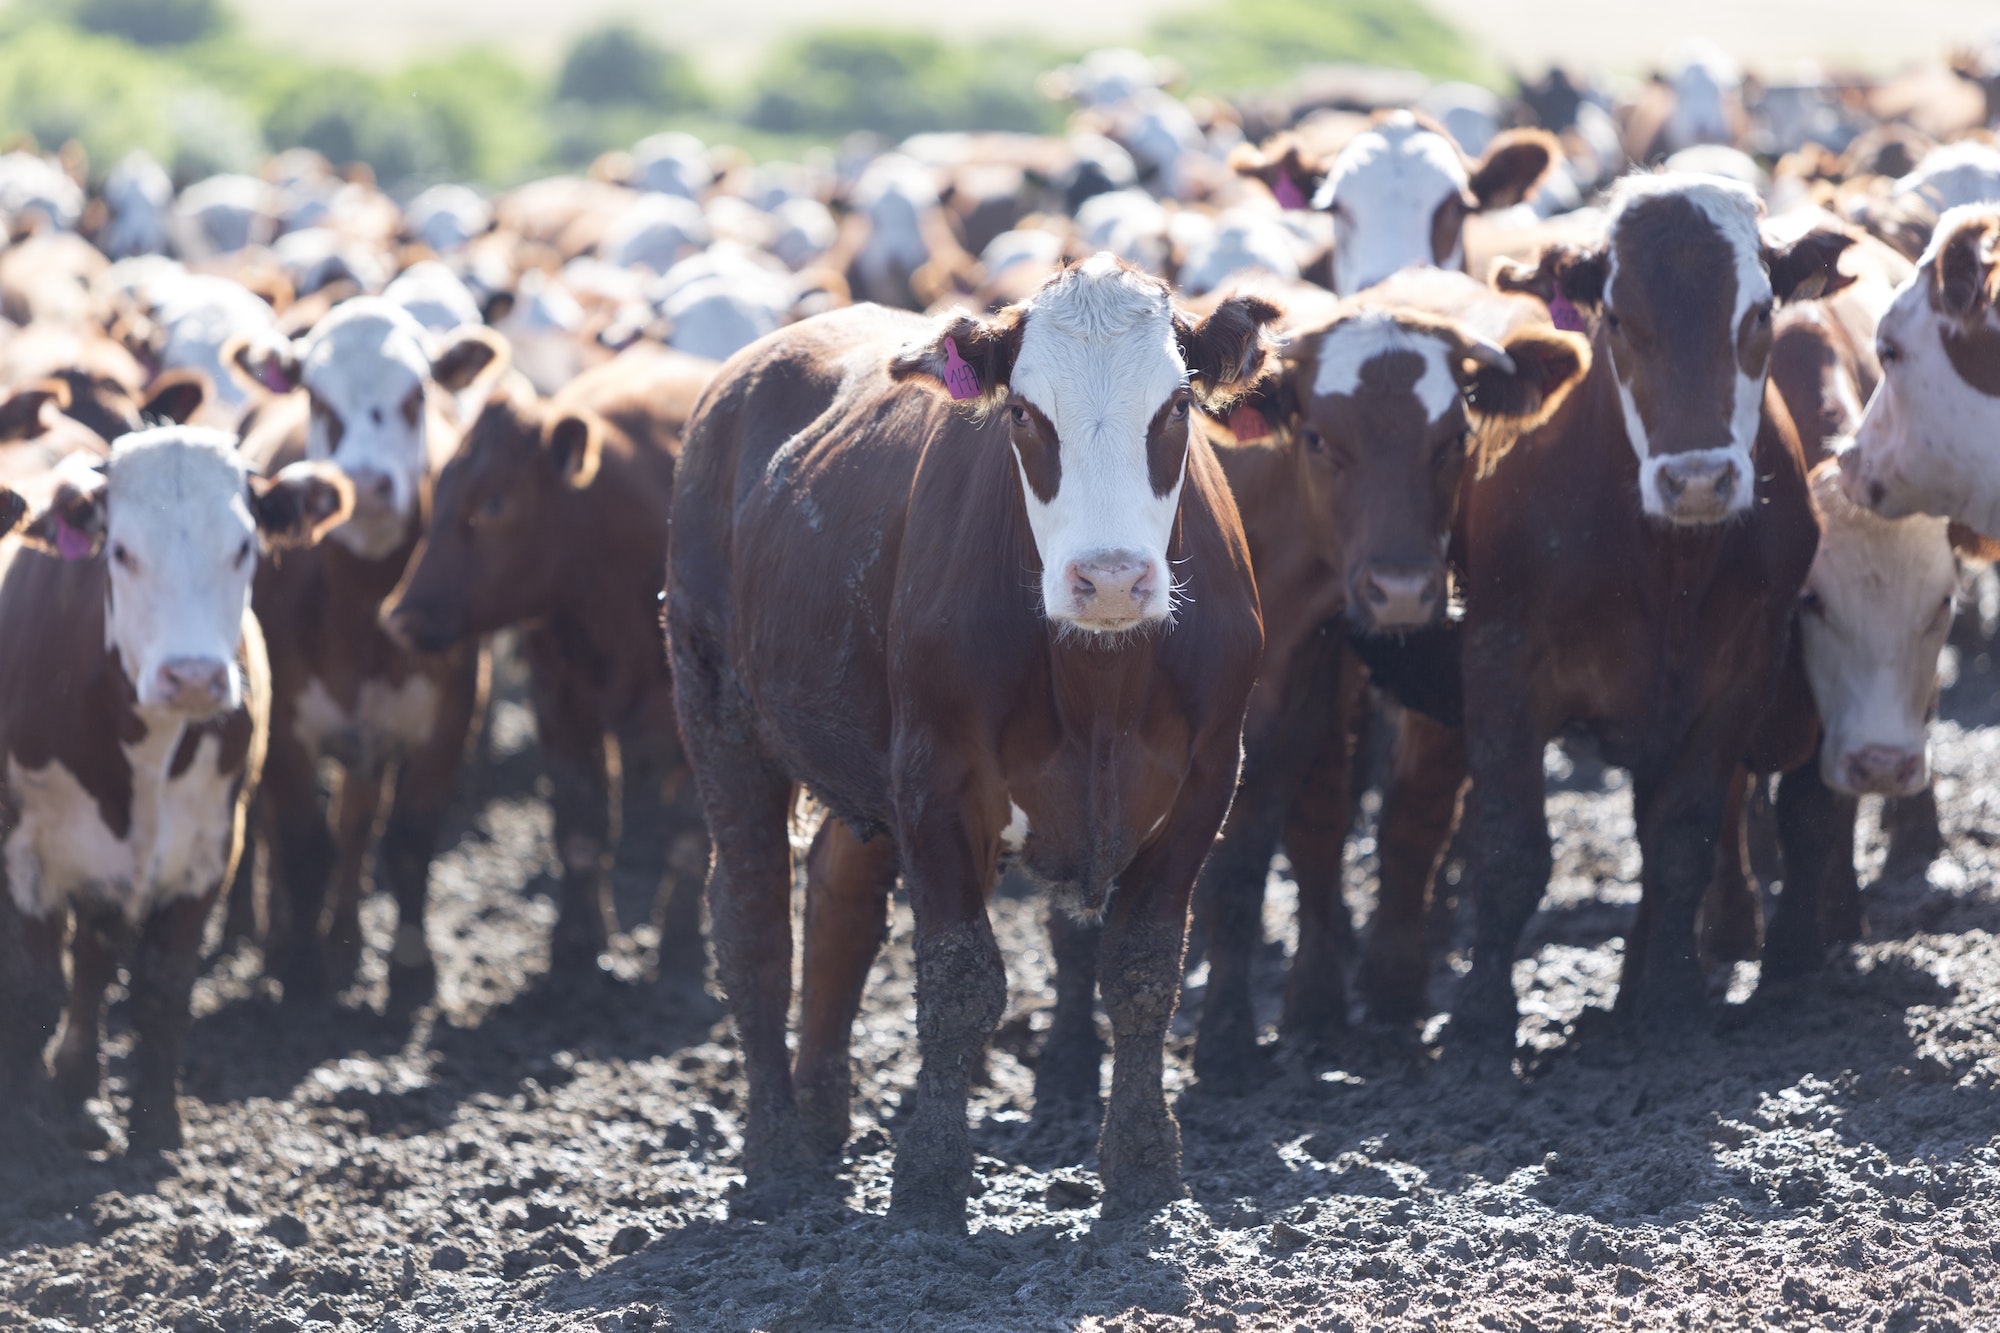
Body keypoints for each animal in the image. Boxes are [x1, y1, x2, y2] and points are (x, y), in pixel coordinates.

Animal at [0, 430, 350, 1144]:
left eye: (244, 547)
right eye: (121, 551)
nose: (191, 676)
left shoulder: (211, 844)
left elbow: (163, 986)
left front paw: (158, 1123)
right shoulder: (23, 847)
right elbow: (28, 987)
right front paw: (19, 1122)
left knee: (98, 953)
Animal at [225, 298, 516, 1008]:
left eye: (416, 394)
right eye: (316, 395)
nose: (364, 482)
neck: (356, 609)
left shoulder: (450, 711)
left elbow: (407, 837)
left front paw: (410, 967)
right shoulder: (285, 727)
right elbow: (302, 842)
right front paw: (300, 966)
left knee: (357, 824)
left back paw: (346, 937)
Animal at [382, 344, 720, 984]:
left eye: (493, 502)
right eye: (438, 491)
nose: (400, 620)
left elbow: (692, 830)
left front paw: (682, 945)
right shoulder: (558, 701)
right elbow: (582, 823)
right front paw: (578, 943)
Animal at [664, 254, 1272, 1232]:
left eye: (1177, 403)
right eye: (1023, 412)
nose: (1109, 578)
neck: (1098, 682)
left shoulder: (1207, 779)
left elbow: (1143, 970)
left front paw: (1145, 1169)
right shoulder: (936, 777)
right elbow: (959, 984)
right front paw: (930, 1180)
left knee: (838, 897)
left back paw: (822, 1119)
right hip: (715, 703)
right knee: (753, 921)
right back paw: (775, 1155)